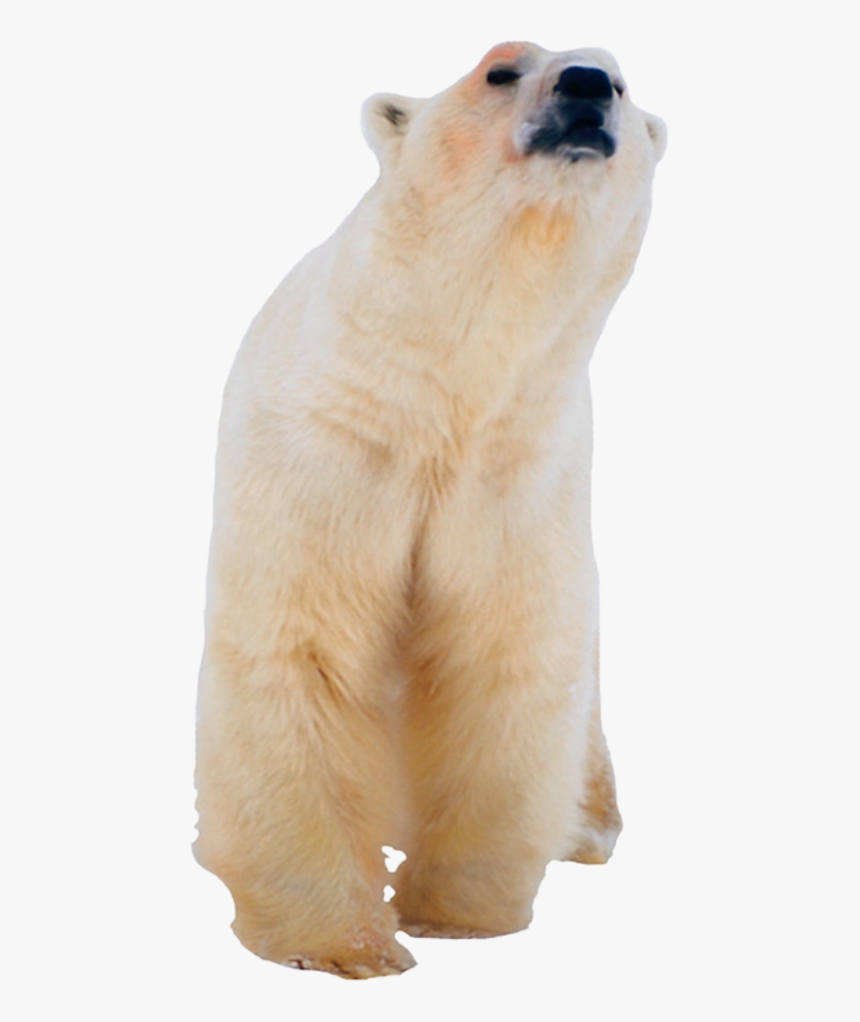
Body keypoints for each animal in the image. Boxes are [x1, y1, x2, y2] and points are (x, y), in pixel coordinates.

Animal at [193, 41, 666, 979]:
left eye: (624, 82)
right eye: (500, 68)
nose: (587, 86)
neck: (446, 394)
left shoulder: (519, 472)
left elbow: (503, 658)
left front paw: (458, 914)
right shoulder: (329, 449)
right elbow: (298, 653)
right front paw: (343, 947)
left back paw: (592, 829)